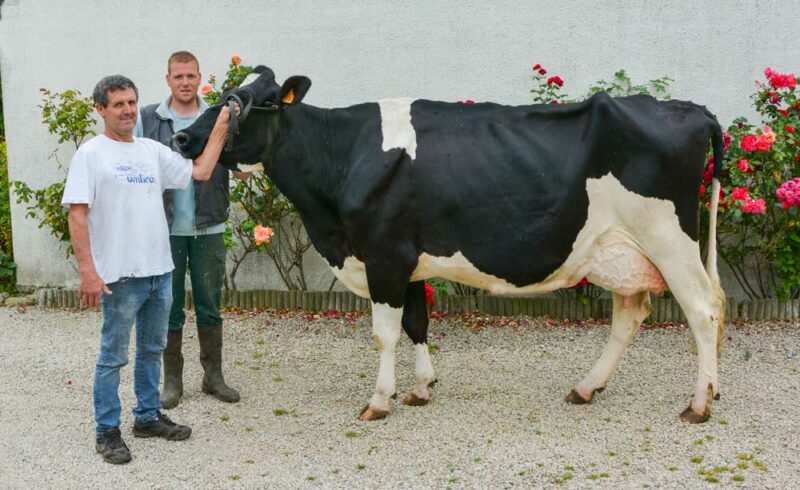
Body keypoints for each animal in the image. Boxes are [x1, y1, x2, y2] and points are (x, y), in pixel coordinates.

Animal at [175, 67, 724, 424]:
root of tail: (692, 109)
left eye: (243, 104)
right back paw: (587, 388)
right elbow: (417, 323)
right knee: (631, 314)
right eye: (225, 95)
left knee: (704, 308)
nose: (182, 139)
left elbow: (385, 334)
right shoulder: (407, 261)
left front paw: (379, 400)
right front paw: (421, 388)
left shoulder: (384, 255)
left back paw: (699, 403)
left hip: (669, 239)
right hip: (622, 250)